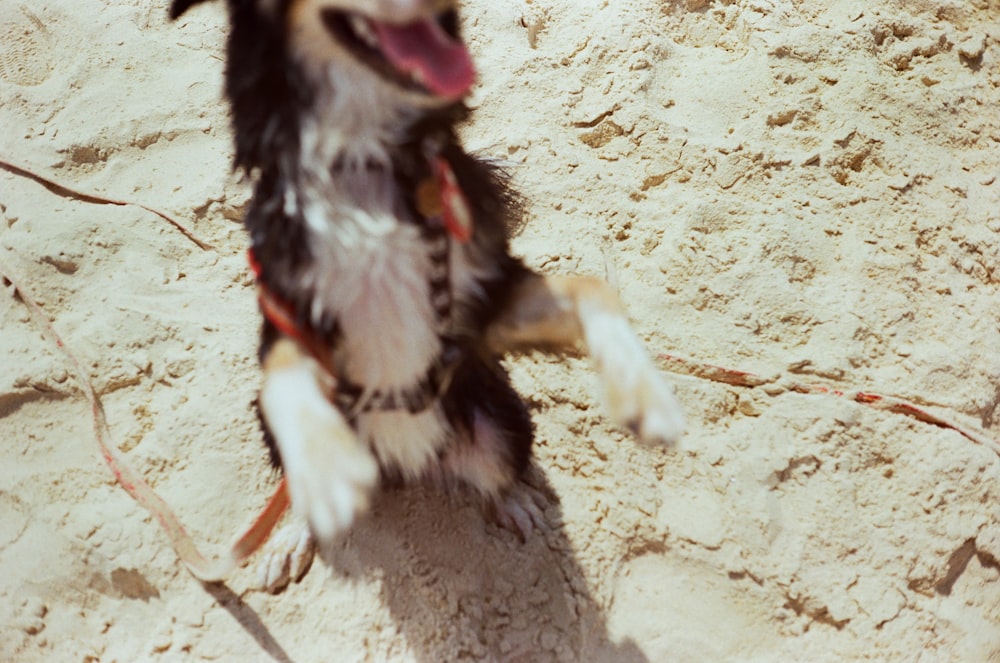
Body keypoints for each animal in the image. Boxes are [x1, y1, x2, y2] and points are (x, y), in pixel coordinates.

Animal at [172, 0, 688, 592]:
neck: (364, 159)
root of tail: (401, 462)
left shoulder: (484, 301)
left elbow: (592, 286)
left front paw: (645, 395)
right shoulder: (289, 312)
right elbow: (282, 377)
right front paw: (323, 465)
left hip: (499, 418)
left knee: (497, 470)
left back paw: (514, 504)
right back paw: (292, 534)